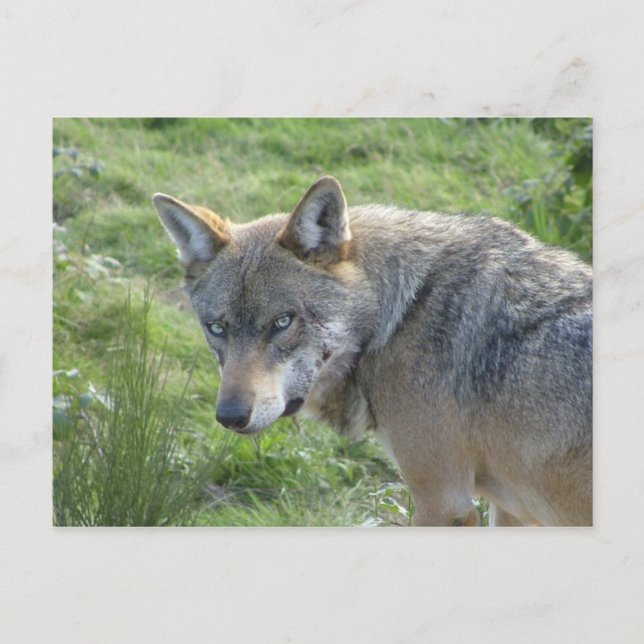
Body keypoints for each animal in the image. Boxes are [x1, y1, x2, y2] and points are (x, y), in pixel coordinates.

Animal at [153, 176, 592, 527]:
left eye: (282, 321)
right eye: (217, 328)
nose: (229, 416)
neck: (400, 315)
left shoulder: (442, 501)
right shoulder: (511, 508)